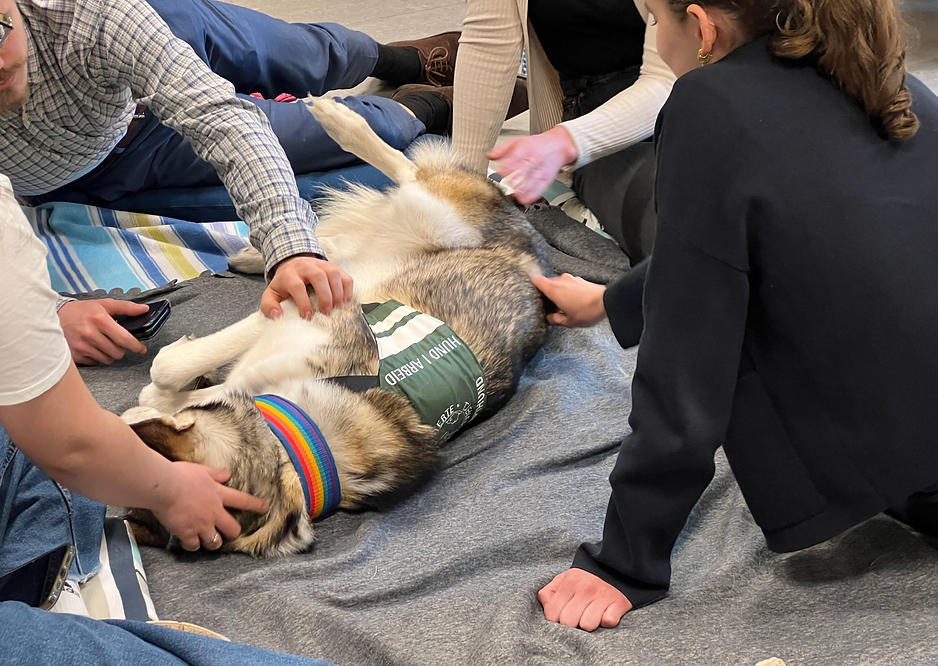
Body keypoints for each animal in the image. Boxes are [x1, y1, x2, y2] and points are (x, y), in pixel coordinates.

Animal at [120, 97, 552, 556]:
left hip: (431, 216)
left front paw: (158, 392)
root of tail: (533, 251)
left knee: (405, 175)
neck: (304, 439)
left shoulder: (303, 311)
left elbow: (167, 371)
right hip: (407, 231)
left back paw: (339, 126)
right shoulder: (308, 302)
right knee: (358, 215)